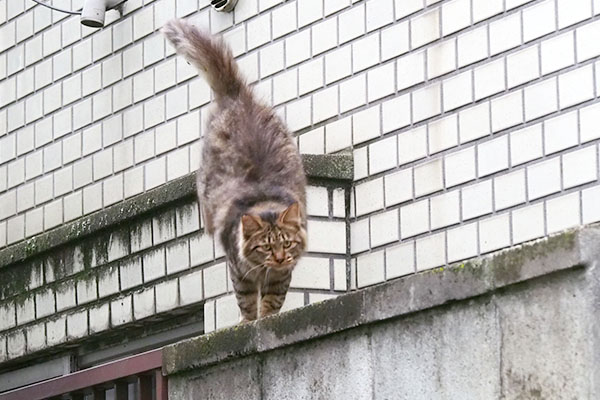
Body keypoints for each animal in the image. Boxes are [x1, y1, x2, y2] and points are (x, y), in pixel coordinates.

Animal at [162, 20, 308, 324]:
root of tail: (237, 95)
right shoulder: (241, 273)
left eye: (287, 244)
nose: (279, 258)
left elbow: (273, 300)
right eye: (266, 247)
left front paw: (266, 317)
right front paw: (249, 321)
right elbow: (247, 301)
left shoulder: (281, 276)